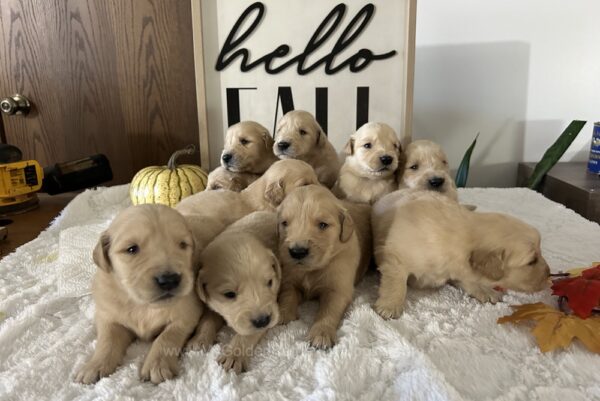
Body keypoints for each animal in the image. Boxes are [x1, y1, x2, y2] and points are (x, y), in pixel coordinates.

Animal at [74, 205, 202, 382]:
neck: (142, 305)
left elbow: (167, 336)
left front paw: (158, 365)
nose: (169, 280)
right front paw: (95, 365)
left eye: (183, 244)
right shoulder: (107, 315)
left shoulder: (188, 312)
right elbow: (107, 340)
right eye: (132, 249)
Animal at [189, 212, 280, 372]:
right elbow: (207, 319)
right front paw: (200, 339)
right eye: (229, 294)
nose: (263, 320)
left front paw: (233, 355)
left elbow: (247, 334)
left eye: (270, 282)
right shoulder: (212, 303)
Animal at [276, 184, 370, 346]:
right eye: (285, 223)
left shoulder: (338, 289)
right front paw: (283, 314)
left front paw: (321, 333)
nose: (297, 252)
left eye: (322, 225)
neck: (312, 270)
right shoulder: (290, 279)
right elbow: (287, 295)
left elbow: (328, 311)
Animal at [372, 190, 552, 318]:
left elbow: (468, 280)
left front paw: (484, 290)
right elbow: (397, 283)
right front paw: (390, 305)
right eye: (532, 261)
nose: (549, 274)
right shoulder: (395, 257)